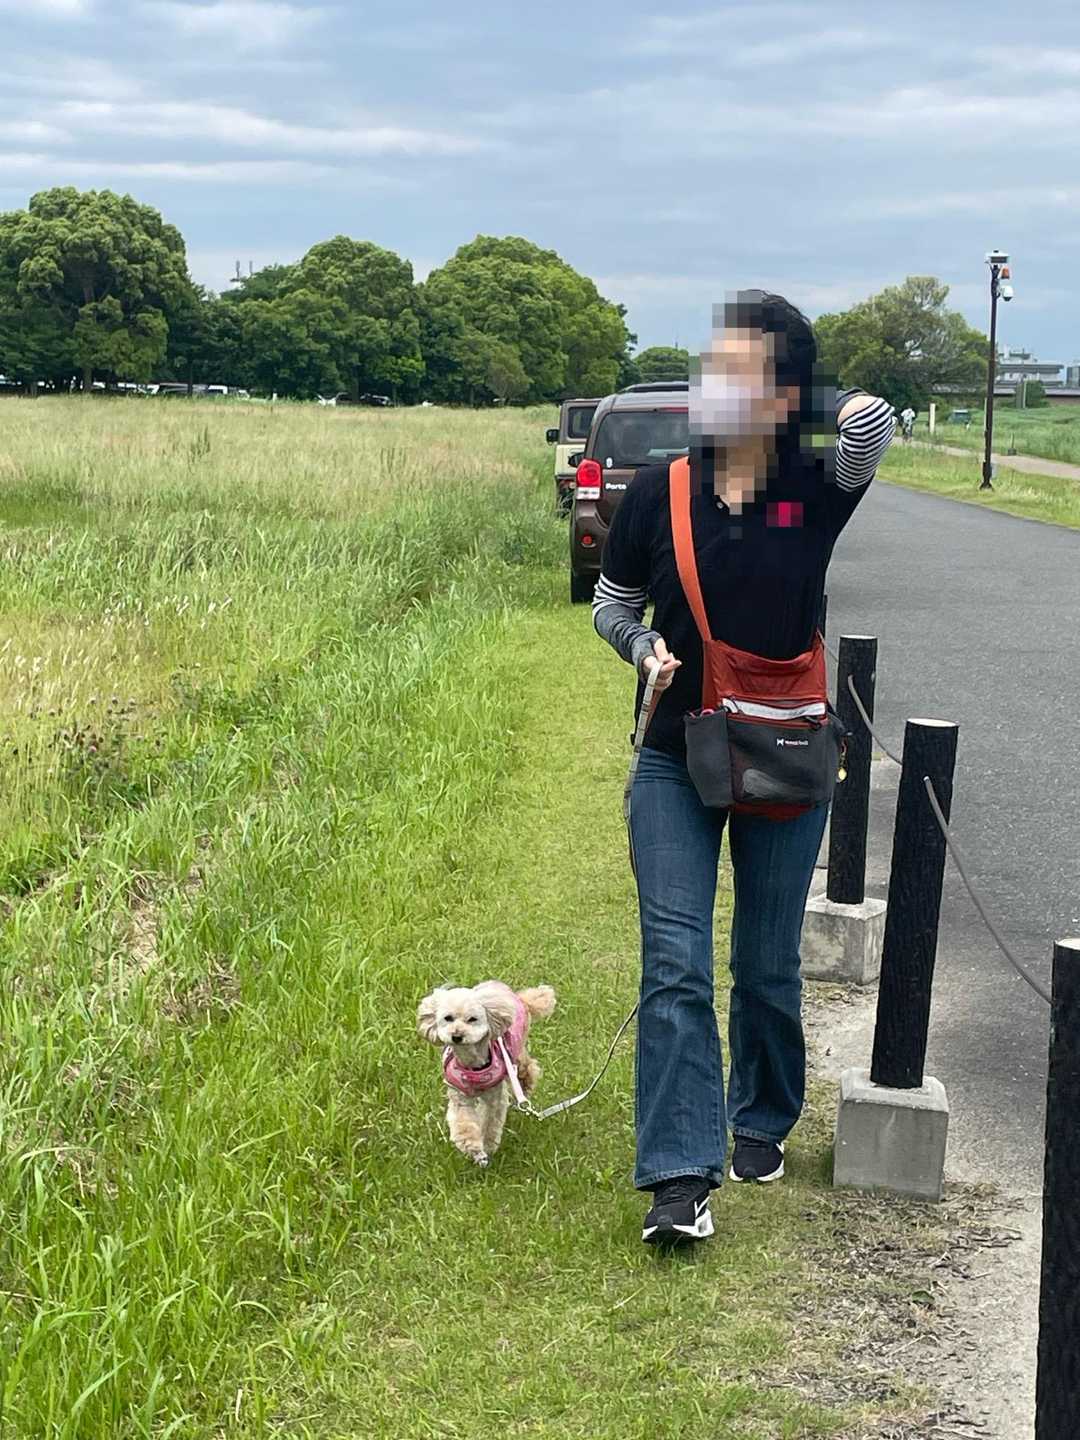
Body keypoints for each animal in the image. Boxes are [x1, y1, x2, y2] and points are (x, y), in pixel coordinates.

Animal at [417, 980, 556, 1166]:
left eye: (472, 1019)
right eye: (448, 1018)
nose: (457, 1035)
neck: (473, 1067)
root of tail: (519, 998)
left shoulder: (495, 1097)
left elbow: (490, 1121)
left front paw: (487, 1146)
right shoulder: (460, 1096)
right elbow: (464, 1123)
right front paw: (472, 1148)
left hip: (516, 1051)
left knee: (528, 1067)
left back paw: (525, 1087)